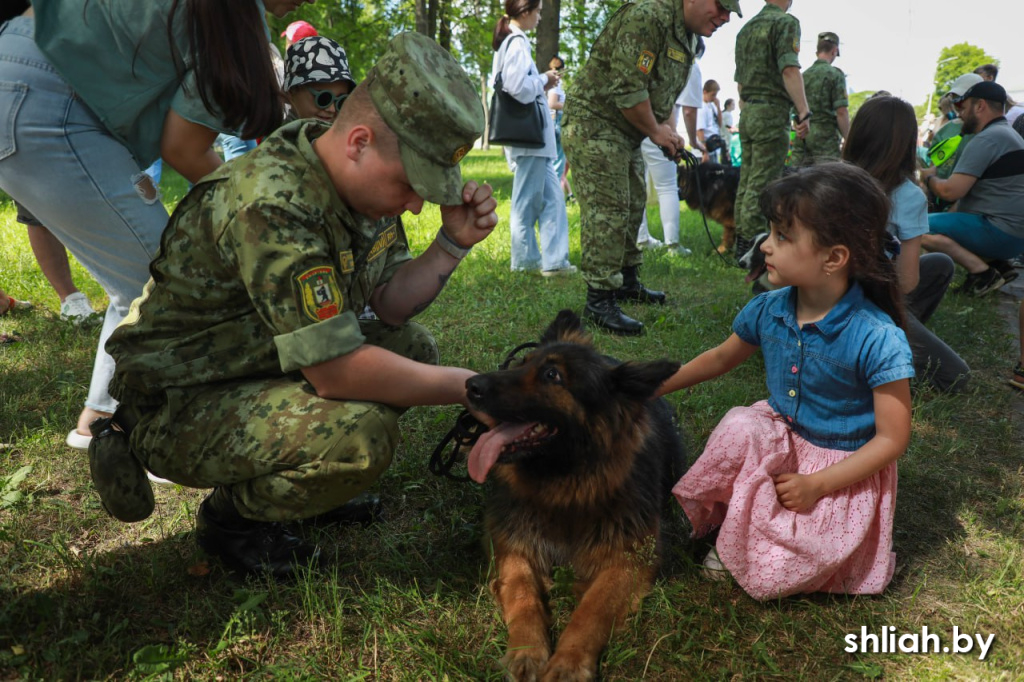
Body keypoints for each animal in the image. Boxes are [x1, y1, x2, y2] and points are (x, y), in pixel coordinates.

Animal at [468, 311, 684, 675]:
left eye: (552, 375)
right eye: (522, 362)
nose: (469, 386)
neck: (565, 488)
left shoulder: (630, 558)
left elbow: (593, 609)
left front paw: (568, 661)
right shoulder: (510, 543)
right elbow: (522, 592)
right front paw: (526, 650)